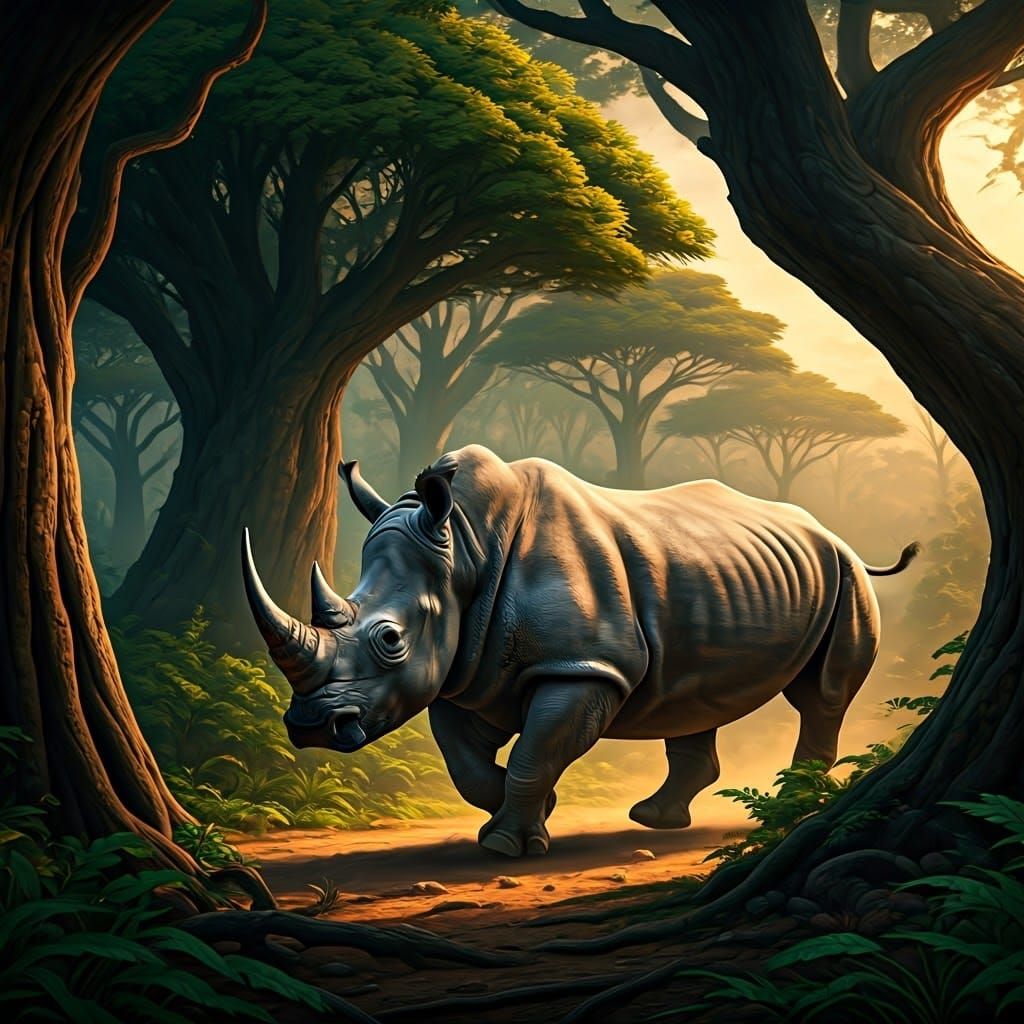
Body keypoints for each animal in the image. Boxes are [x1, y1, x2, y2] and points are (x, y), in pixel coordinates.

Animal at [241, 444, 918, 857]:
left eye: (390, 640)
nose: (310, 727)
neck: (466, 547)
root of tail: (832, 534)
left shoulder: (584, 667)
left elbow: (535, 752)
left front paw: (506, 846)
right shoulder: (468, 669)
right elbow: (465, 761)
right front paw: (532, 813)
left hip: (844, 577)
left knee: (821, 696)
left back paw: (791, 806)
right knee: (694, 698)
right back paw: (655, 820)